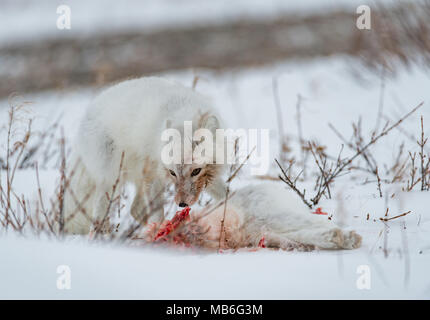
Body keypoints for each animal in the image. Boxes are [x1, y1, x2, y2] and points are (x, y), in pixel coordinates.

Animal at [64, 76, 228, 234]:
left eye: (196, 171)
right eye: (172, 173)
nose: (182, 204)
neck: (185, 116)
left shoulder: (209, 177)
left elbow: (226, 195)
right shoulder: (154, 175)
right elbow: (157, 214)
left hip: (137, 178)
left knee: (135, 209)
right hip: (113, 180)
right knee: (100, 214)